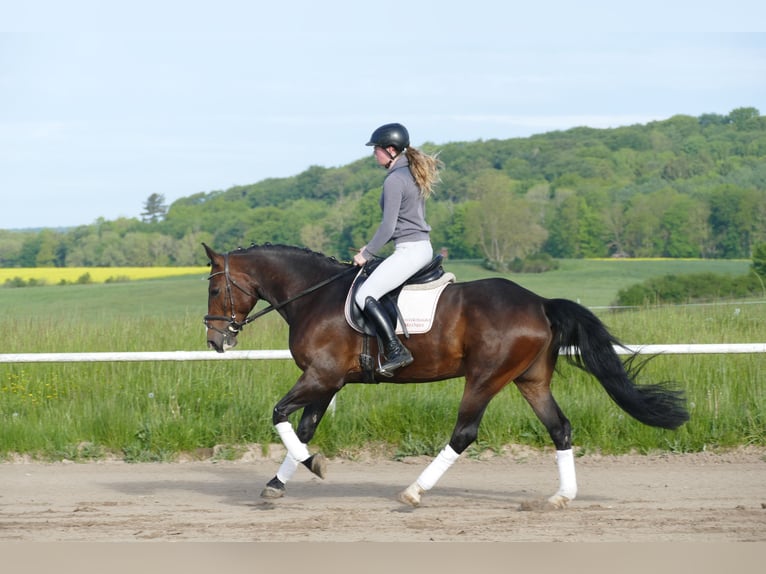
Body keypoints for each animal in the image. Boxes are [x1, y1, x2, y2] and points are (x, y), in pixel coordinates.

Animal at [203, 242, 689, 508]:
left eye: (214, 287)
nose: (215, 340)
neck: (314, 296)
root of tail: (540, 303)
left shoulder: (321, 376)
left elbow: (279, 414)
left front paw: (311, 464)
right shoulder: (328, 381)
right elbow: (303, 428)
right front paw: (279, 482)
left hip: (485, 378)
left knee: (464, 433)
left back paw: (414, 492)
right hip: (530, 380)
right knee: (560, 428)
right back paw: (559, 498)